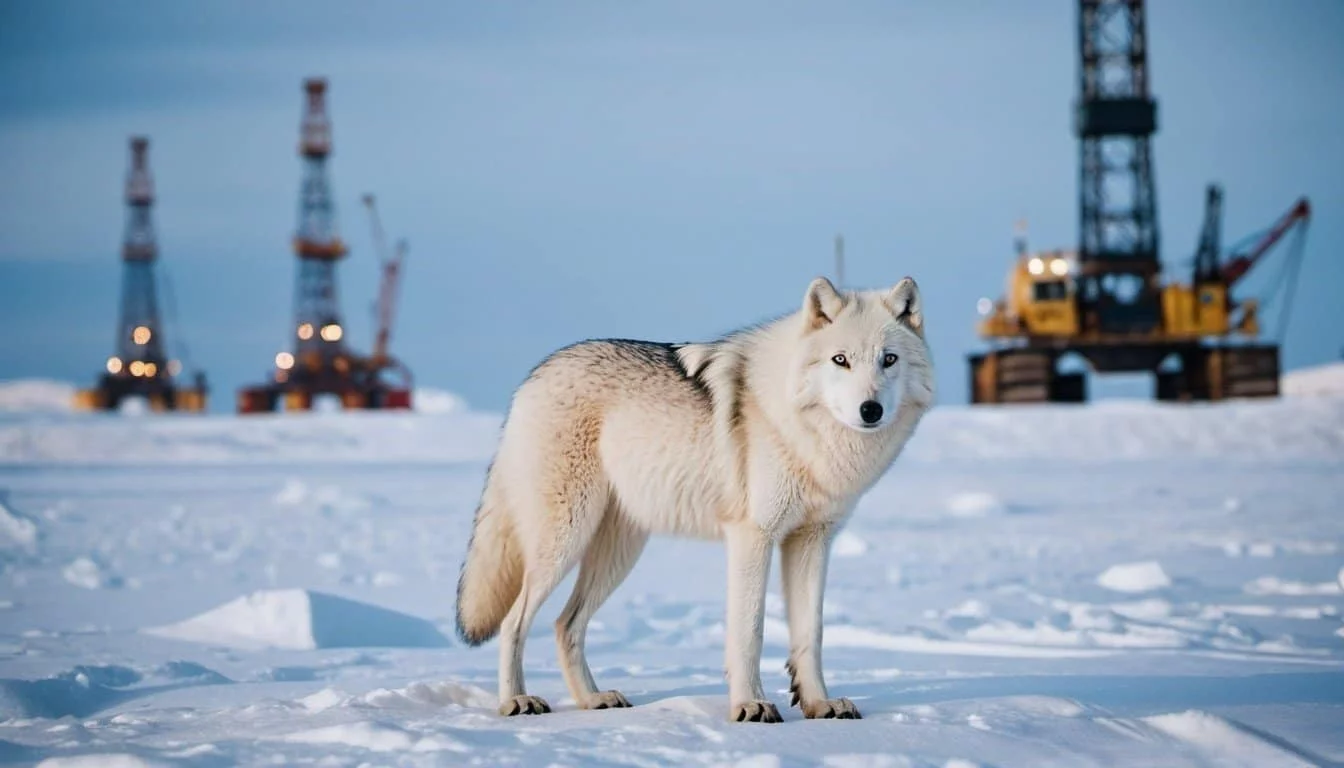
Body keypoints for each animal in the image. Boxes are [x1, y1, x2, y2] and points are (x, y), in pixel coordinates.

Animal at [454, 275, 934, 723]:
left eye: (888, 360)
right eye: (841, 360)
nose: (871, 410)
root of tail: (532, 378)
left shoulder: (813, 540)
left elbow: (810, 634)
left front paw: (819, 704)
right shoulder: (753, 537)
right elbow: (750, 631)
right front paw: (750, 705)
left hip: (618, 554)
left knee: (564, 624)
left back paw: (593, 700)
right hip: (564, 541)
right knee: (514, 621)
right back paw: (516, 701)